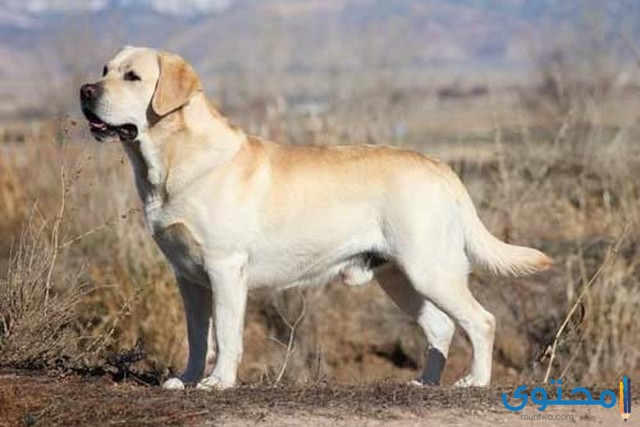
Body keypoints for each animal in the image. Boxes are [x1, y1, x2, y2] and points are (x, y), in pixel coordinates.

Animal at [79, 46, 552, 392]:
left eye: (133, 77)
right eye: (104, 69)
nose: (85, 90)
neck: (174, 160)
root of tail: (441, 168)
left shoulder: (225, 268)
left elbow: (227, 335)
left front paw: (219, 383)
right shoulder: (189, 277)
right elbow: (198, 336)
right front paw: (188, 379)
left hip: (429, 268)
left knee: (481, 321)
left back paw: (475, 381)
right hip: (400, 277)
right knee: (440, 327)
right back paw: (425, 383)